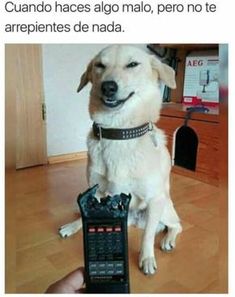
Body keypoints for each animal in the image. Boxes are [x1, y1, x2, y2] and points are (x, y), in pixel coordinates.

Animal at [58, 45, 182, 274]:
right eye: (100, 65)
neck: (119, 132)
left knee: (175, 225)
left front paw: (146, 258)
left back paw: (168, 239)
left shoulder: (155, 199)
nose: (108, 87)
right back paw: (73, 225)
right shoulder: (97, 190)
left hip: (164, 207)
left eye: (132, 64)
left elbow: (147, 236)